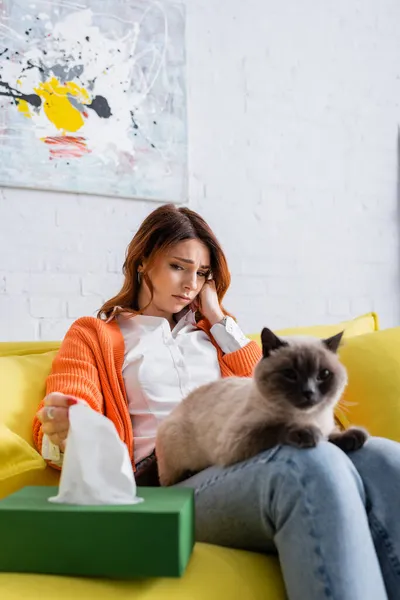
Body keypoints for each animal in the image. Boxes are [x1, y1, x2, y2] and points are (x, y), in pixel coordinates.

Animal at [156, 328, 368, 488]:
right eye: (290, 374)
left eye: (323, 374)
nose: (309, 392)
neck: (308, 417)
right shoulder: (237, 440)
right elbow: (278, 428)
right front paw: (308, 433)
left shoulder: (326, 426)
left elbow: (332, 434)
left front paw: (352, 437)